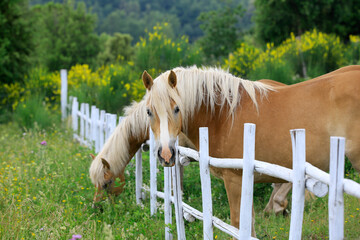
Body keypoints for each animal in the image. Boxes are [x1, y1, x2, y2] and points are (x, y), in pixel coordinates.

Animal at [141, 65, 360, 236]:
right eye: (149, 111)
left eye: (177, 108)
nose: (166, 154)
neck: (222, 115)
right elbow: (250, 224)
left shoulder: (234, 180)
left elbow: (238, 224)